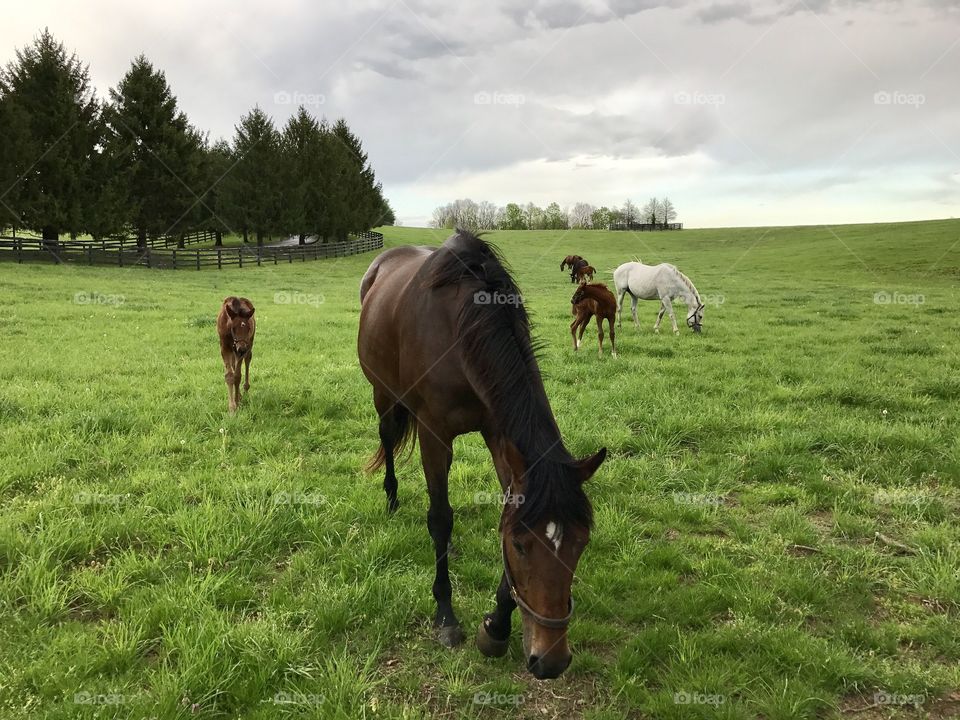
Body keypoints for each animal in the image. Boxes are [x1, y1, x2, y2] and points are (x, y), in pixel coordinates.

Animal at [356, 231, 604, 680]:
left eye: (581, 543)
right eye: (522, 546)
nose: (551, 661)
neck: (459, 330)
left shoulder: (498, 433)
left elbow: (500, 508)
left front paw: (497, 627)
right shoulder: (434, 433)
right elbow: (440, 516)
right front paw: (446, 615)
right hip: (383, 394)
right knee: (388, 440)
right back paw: (393, 499)